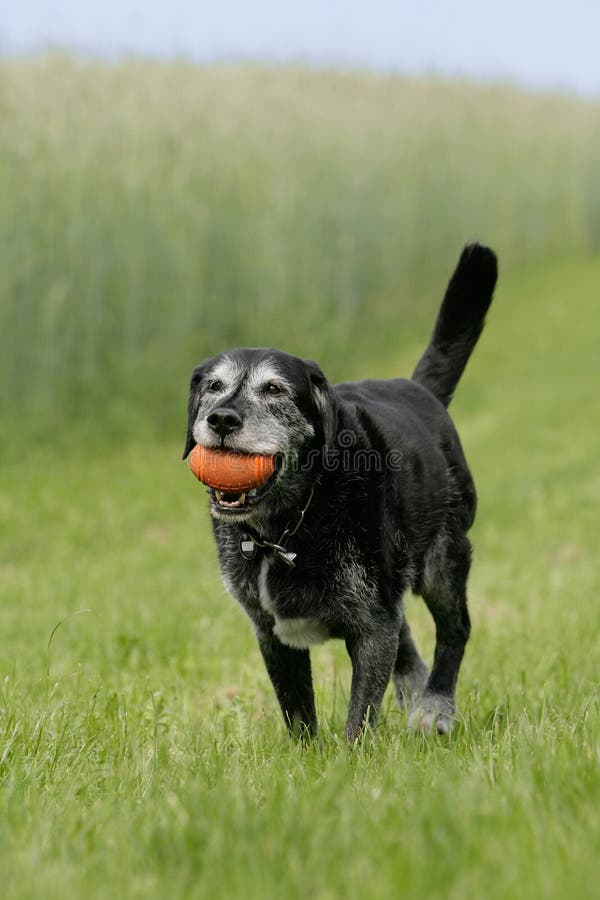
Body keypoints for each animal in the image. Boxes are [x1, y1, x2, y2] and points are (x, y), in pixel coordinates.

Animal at [182, 243, 496, 740]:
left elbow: (359, 718)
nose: (222, 419)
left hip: (443, 559)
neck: (288, 525)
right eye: (214, 385)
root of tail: (419, 390)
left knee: (455, 629)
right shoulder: (272, 636)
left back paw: (435, 706)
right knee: (409, 639)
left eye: (275, 389)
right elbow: (298, 715)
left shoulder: (372, 626)